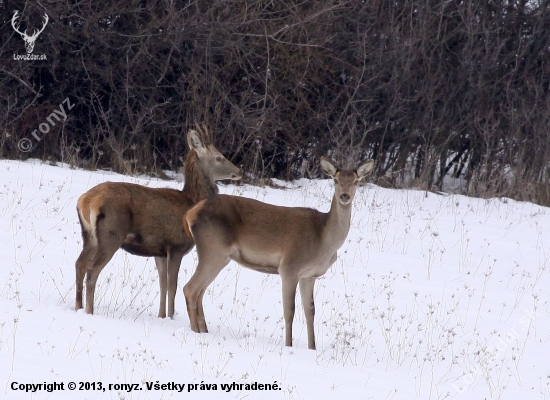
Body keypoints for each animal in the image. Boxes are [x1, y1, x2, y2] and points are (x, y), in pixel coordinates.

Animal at [75, 126, 242, 320]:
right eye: (219, 157)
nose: (239, 171)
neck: (192, 201)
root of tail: (86, 200)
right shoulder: (176, 246)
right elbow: (173, 285)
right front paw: (171, 317)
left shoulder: (159, 251)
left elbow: (162, 284)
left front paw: (162, 316)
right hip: (111, 234)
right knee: (92, 269)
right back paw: (89, 311)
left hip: (90, 236)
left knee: (80, 264)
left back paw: (78, 307)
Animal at [183, 156, 378, 350]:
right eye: (335, 180)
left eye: (356, 181)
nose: (345, 196)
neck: (323, 240)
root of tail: (190, 213)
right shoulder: (289, 268)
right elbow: (289, 311)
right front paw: (289, 345)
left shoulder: (310, 276)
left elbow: (310, 312)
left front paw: (312, 348)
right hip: (213, 249)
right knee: (190, 288)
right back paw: (194, 332)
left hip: (222, 258)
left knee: (200, 291)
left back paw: (203, 330)